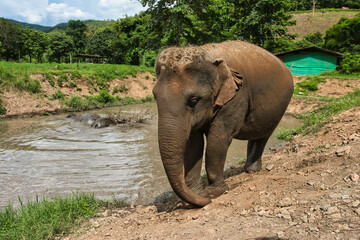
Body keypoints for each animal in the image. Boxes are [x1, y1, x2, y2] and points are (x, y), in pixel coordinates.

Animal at [153, 40, 294, 207]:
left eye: (193, 100)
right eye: (155, 97)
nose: (206, 200)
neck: (207, 54)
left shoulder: (237, 96)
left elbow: (218, 138)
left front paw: (213, 193)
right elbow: (193, 144)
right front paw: (197, 193)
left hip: (281, 105)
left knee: (264, 134)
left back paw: (252, 170)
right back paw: (248, 168)